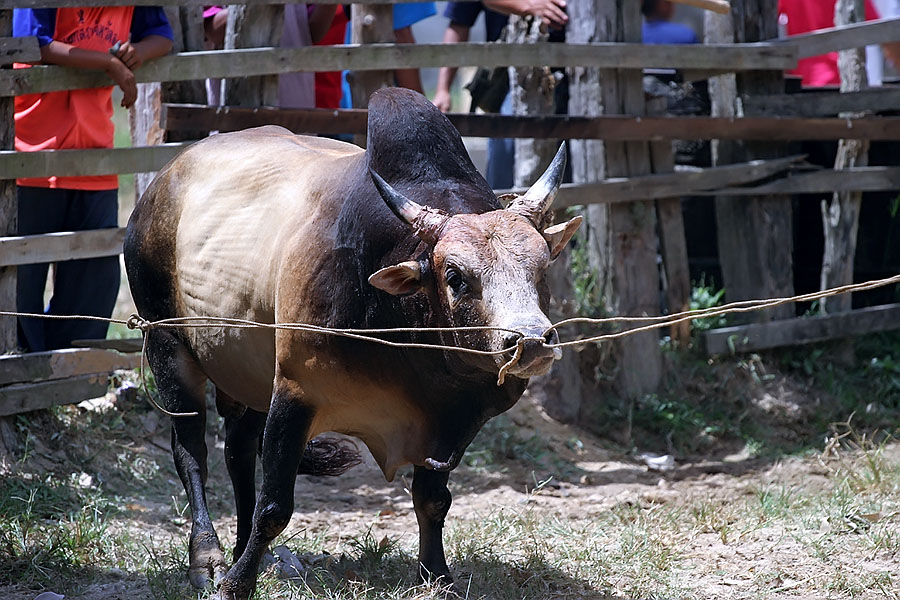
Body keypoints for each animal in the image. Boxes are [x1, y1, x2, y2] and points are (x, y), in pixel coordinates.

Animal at [124, 87, 581, 599]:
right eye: (455, 276)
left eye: (541, 268)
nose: (532, 342)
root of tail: (161, 183)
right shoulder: (295, 395)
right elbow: (274, 507)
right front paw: (235, 585)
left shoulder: (453, 423)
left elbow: (432, 500)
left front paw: (436, 575)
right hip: (167, 345)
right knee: (192, 456)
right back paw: (208, 560)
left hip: (247, 371)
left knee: (237, 453)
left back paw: (248, 554)